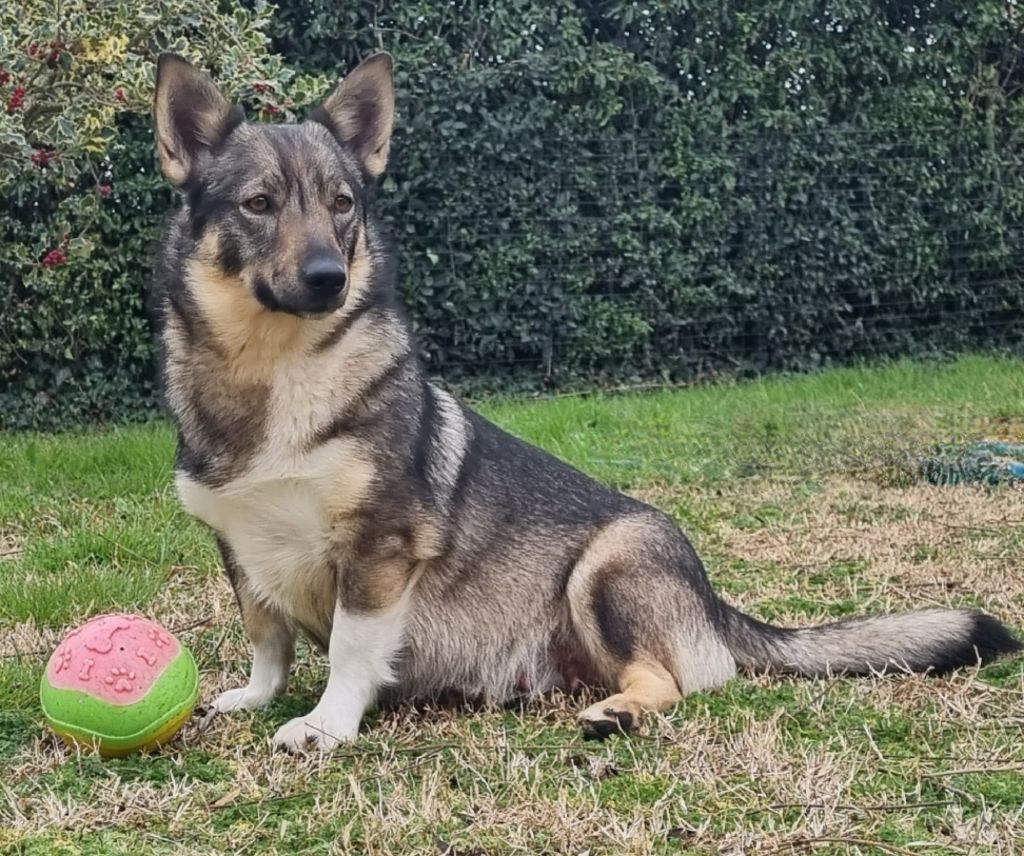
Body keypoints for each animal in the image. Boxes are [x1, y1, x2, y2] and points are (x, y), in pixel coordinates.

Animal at [153, 51, 1024, 749]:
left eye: (342, 204)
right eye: (259, 204)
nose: (330, 278)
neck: (276, 371)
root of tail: (714, 605)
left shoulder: (378, 553)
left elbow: (349, 650)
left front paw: (327, 725)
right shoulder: (240, 553)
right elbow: (267, 641)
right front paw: (256, 699)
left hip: (604, 568)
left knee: (678, 679)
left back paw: (621, 711)